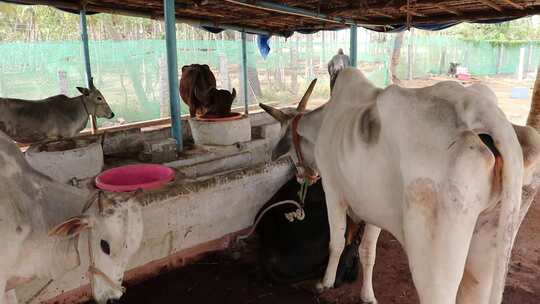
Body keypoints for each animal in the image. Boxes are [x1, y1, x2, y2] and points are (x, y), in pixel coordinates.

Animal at [260, 67, 540, 302]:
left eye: (290, 151)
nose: (301, 176)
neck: (324, 122)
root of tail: (484, 111)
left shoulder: (332, 189)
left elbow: (336, 241)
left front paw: (325, 283)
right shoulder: (372, 205)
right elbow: (368, 251)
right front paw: (368, 295)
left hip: (433, 261)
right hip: (492, 239)